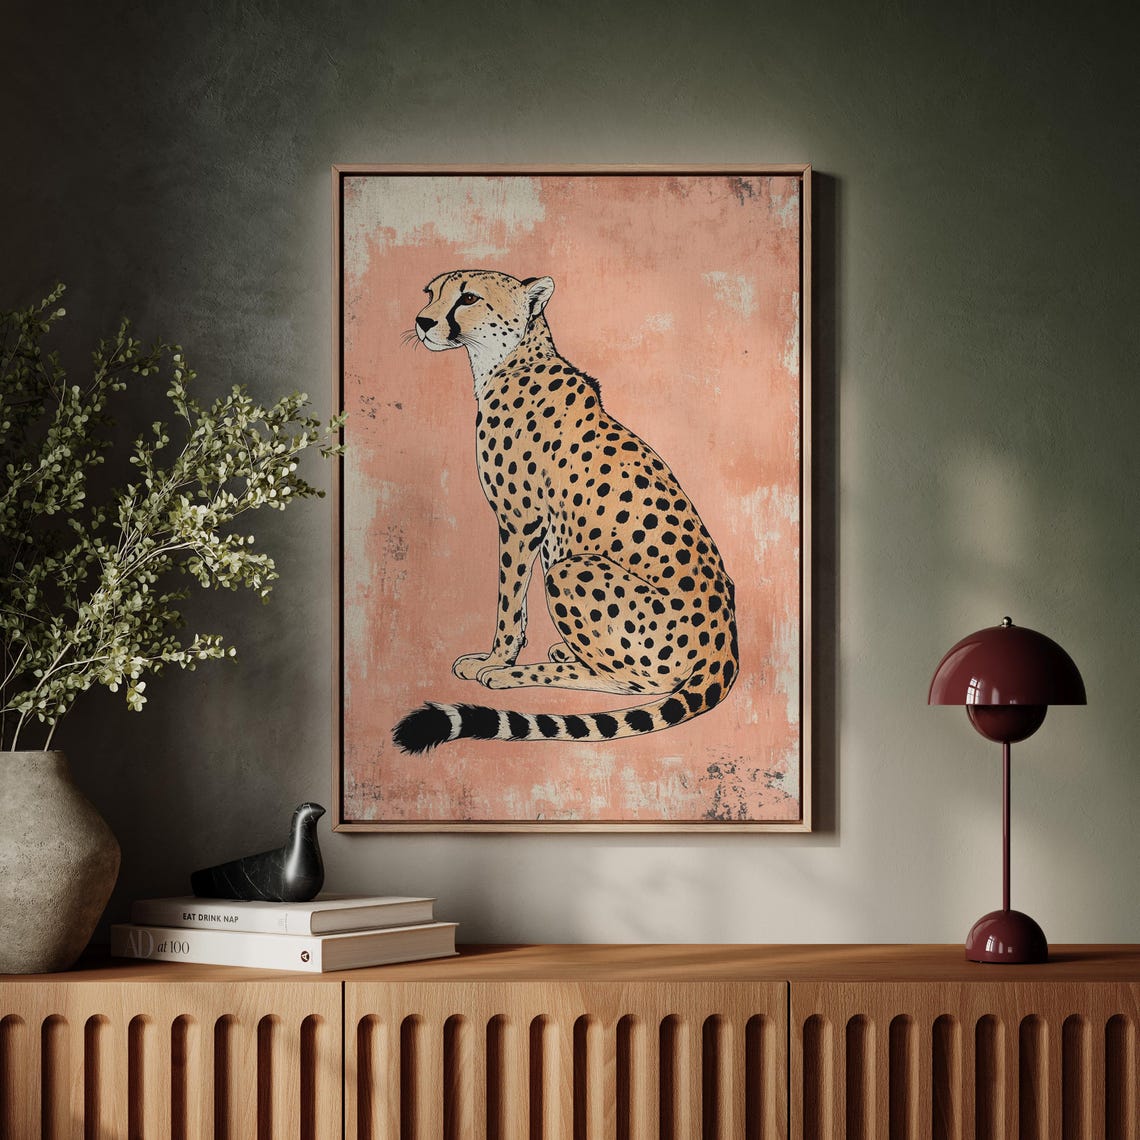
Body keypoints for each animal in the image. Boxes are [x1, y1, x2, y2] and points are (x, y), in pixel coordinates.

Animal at [392, 269, 739, 753]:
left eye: (469, 298)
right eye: (432, 293)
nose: (422, 322)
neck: (505, 361)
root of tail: (724, 644)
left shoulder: (520, 522)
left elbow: (508, 603)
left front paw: (496, 661)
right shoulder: (531, 529)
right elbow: (517, 606)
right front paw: (497, 655)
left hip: (573, 570)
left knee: (629, 681)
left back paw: (518, 675)